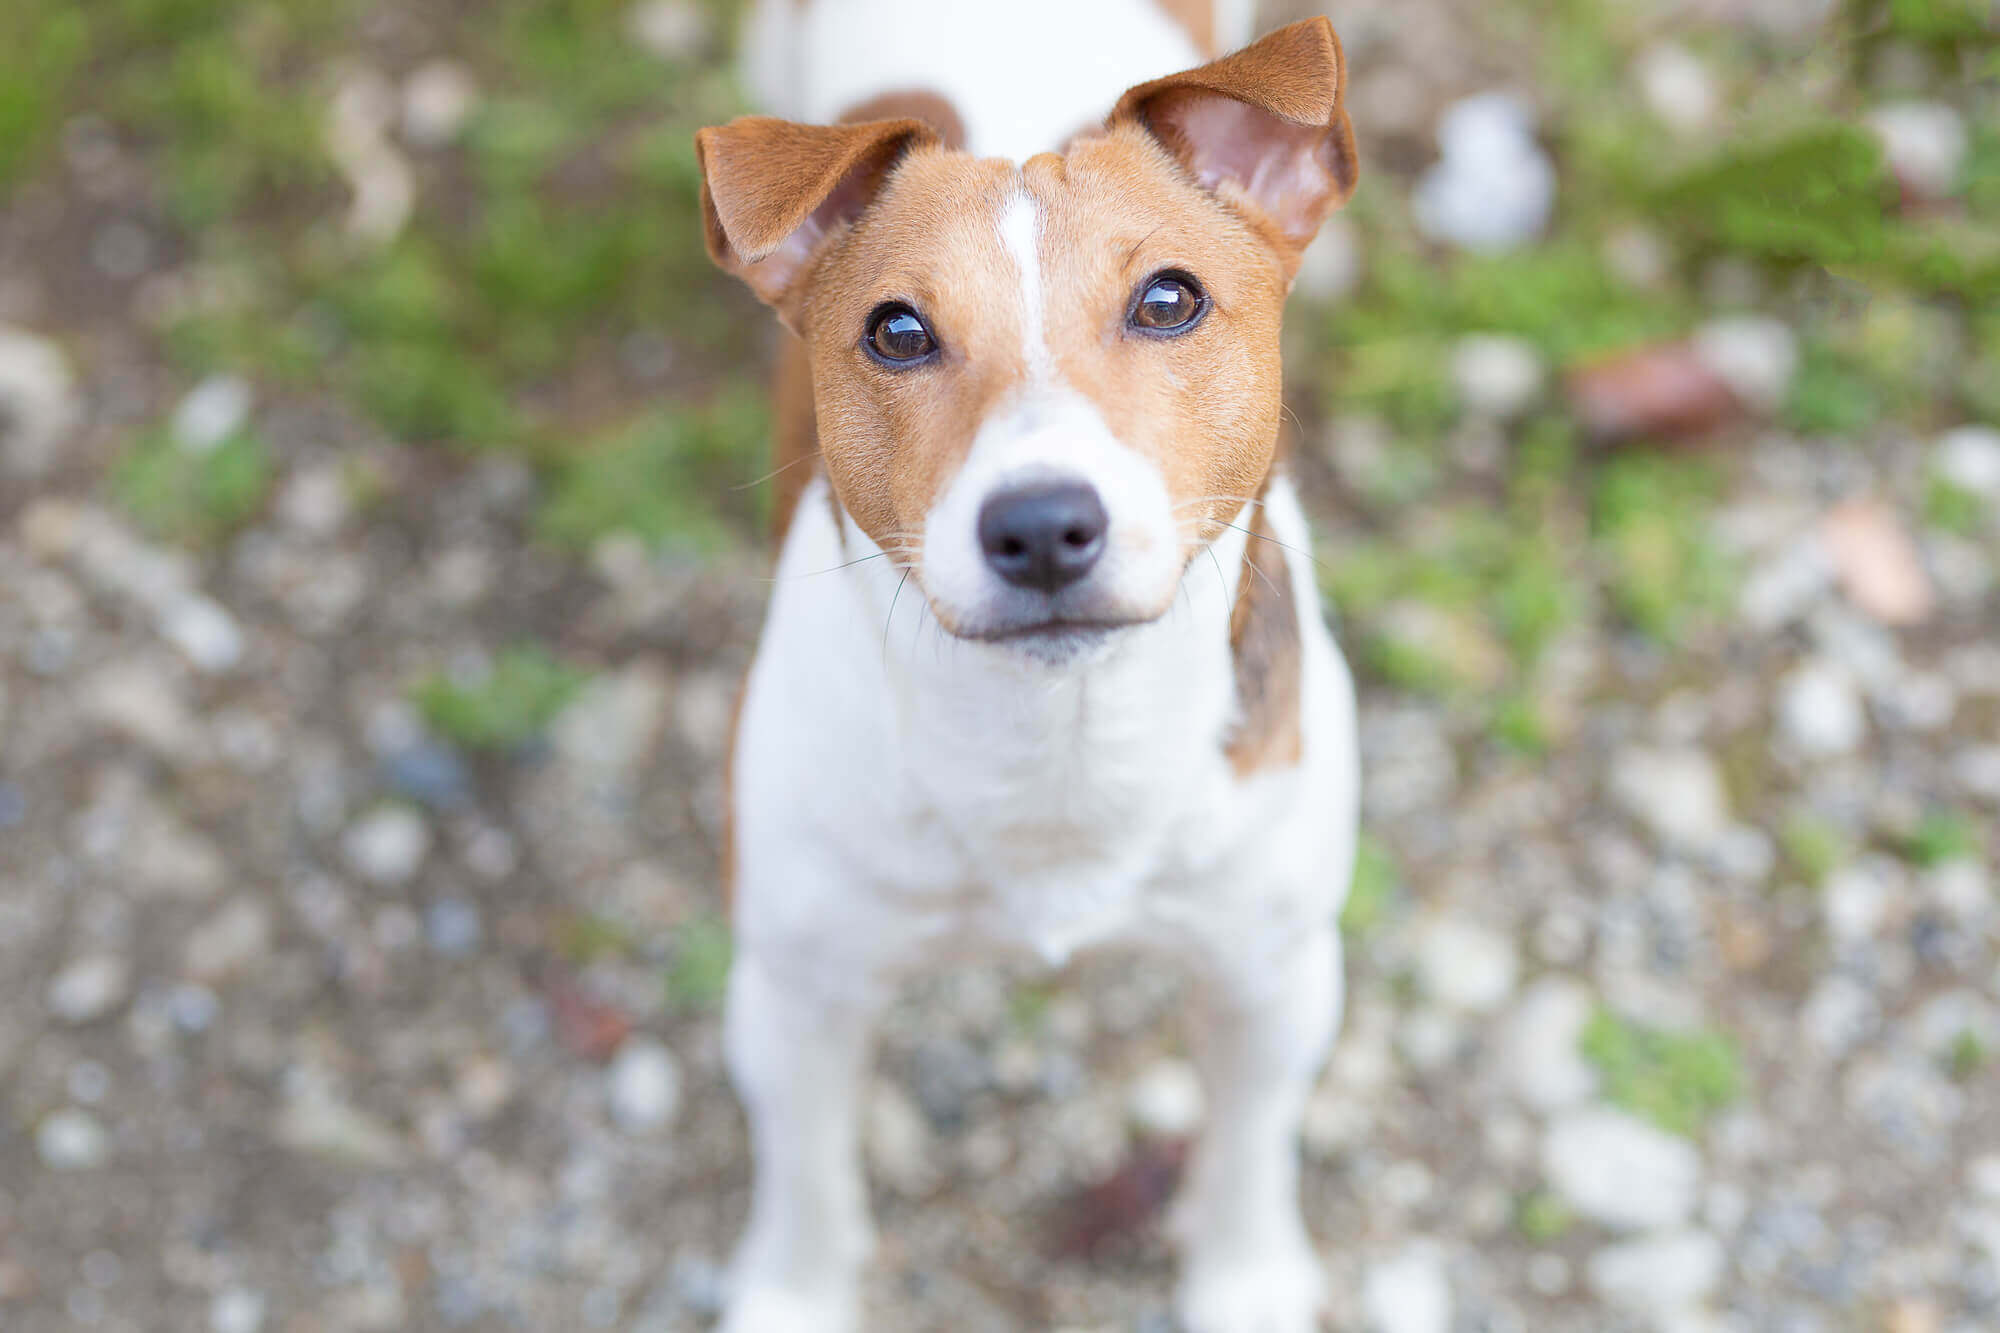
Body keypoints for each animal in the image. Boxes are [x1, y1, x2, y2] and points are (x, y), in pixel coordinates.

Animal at [696, 5, 1368, 1320]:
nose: (1043, 524)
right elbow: (805, 1177)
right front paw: (795, 1292)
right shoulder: (791, 993)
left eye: (1168, 300)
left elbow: (1249, 1143)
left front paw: (1243, 1275)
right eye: (896, 331)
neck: (1058, 741)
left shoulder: (1271, 975)